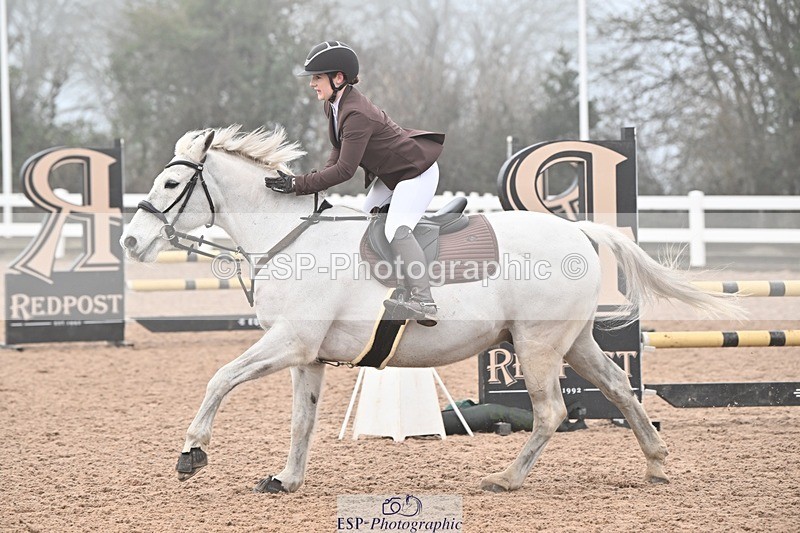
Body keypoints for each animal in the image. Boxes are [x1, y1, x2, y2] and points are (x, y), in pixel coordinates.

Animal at [121, 125, 741, 494]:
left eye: (172, 182)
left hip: (537, 345)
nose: (130, 241)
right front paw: (287, 479)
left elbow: (220, 378)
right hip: (573, 341)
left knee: (551, 412)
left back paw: (505, 478)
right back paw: (656, 462)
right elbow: (302, 419)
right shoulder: (308, 357)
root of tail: (579, 231)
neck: (288, 238)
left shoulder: (290, 343)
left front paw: (192, 453)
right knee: (617, 387)